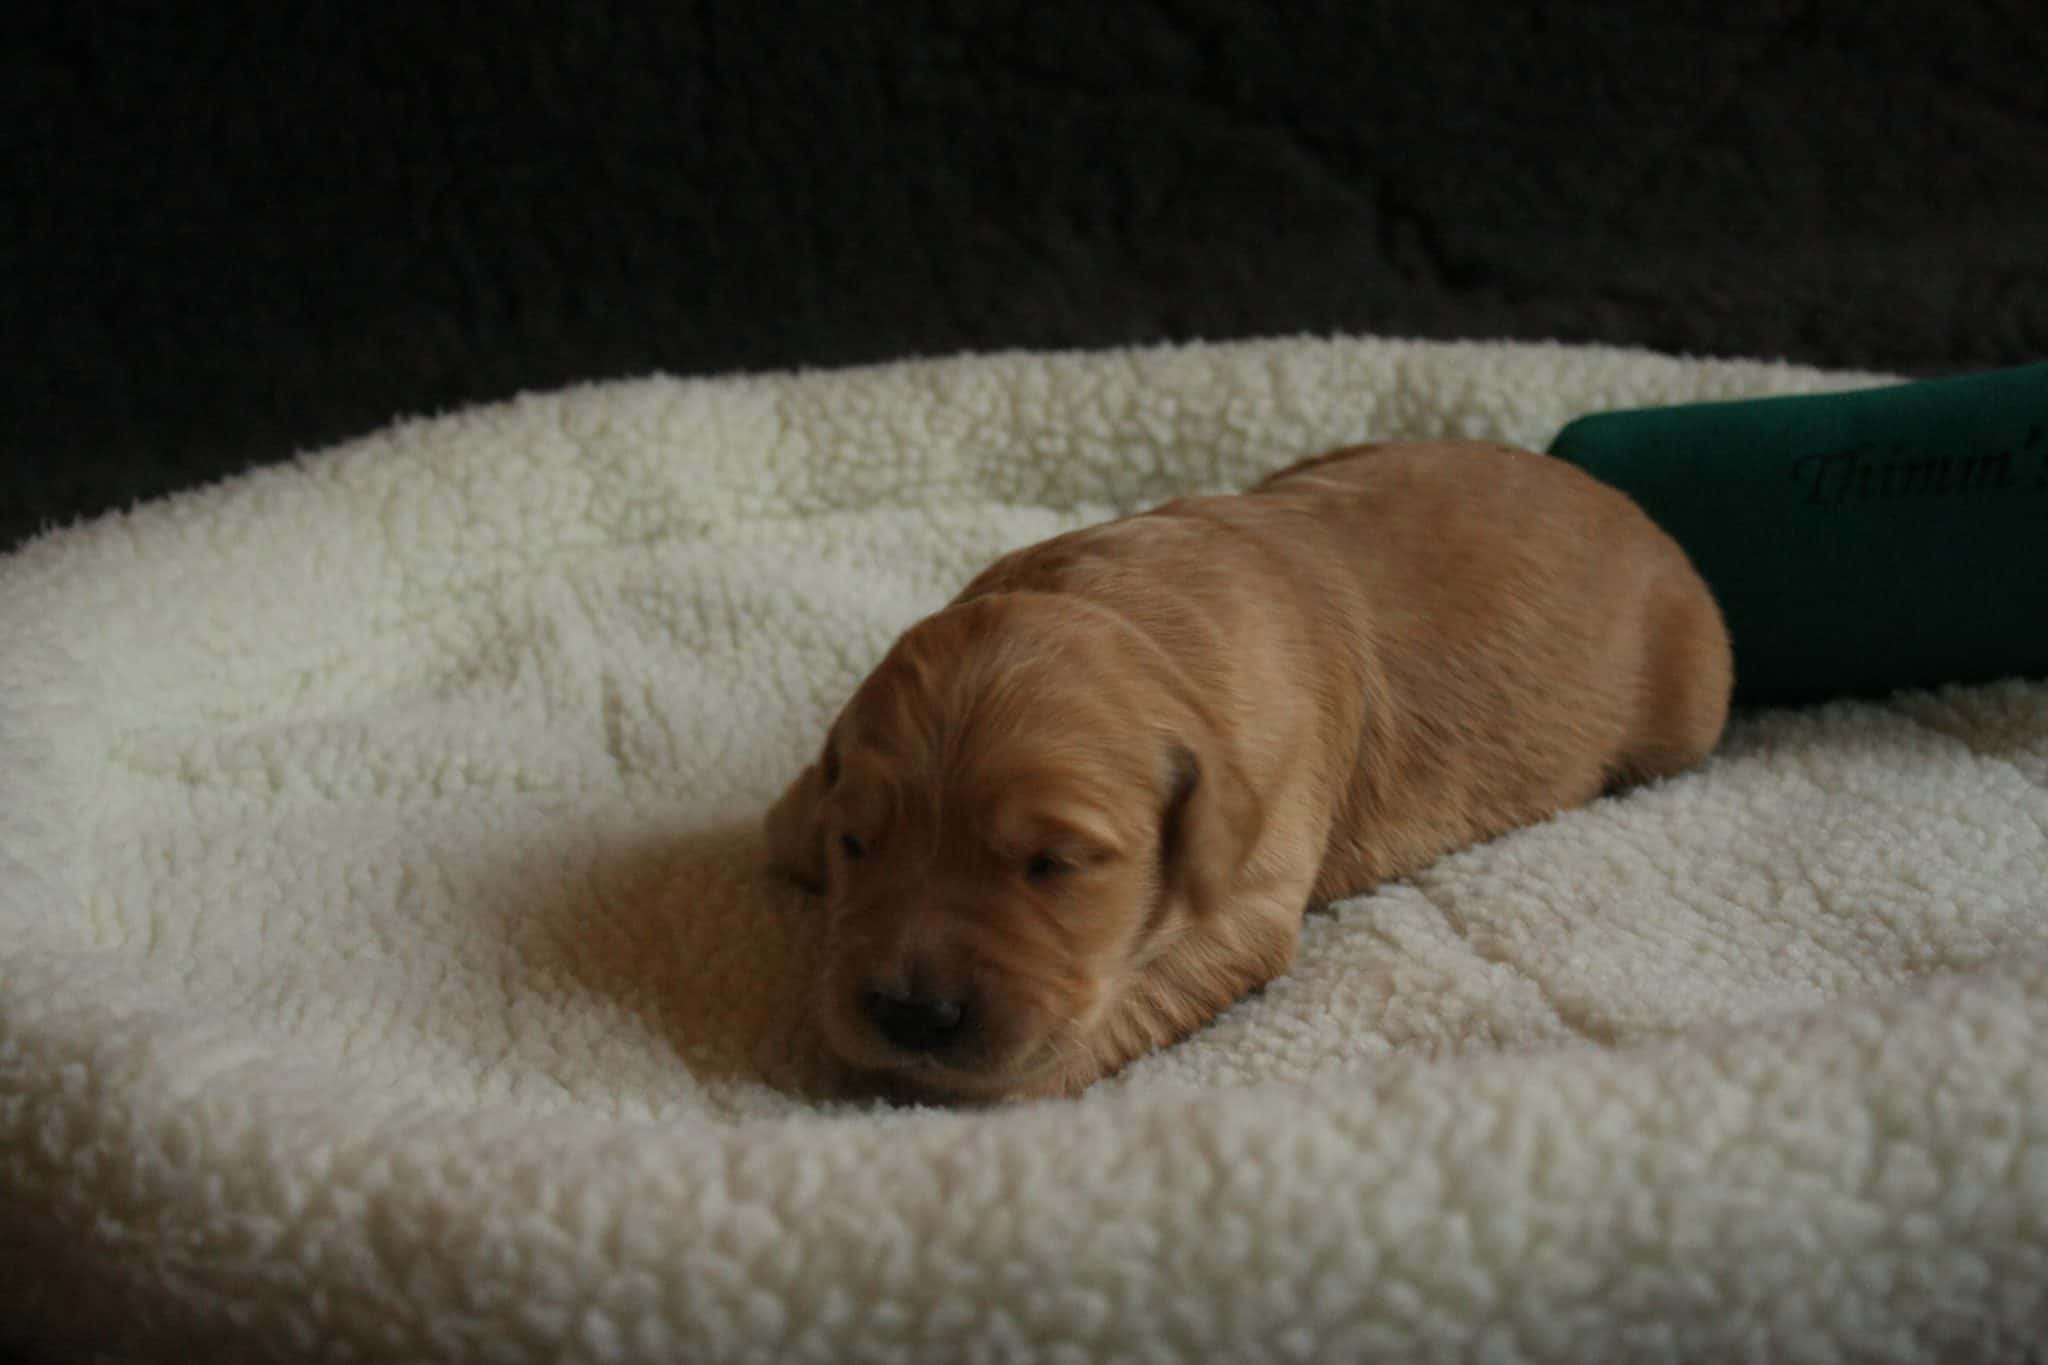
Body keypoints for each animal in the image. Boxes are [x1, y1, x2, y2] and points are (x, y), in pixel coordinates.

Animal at [766, 441, 1731, 1101]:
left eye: (1055, 865)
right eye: (858, 844)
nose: (911, 1015)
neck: (1134, 621)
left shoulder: (1252, 885)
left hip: (1688, 697)